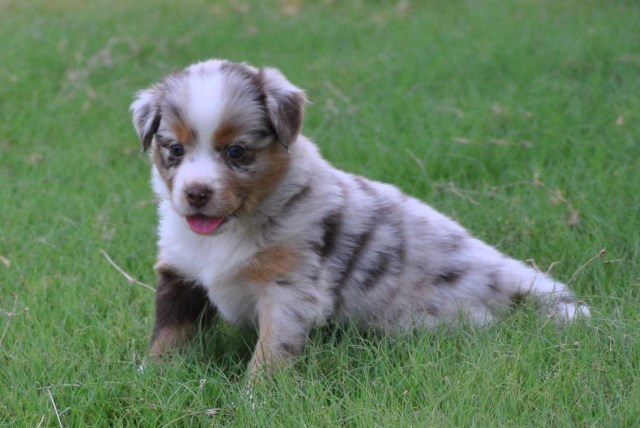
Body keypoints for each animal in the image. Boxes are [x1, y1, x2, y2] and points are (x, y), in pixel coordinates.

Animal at [130, 60, 592, 374]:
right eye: (174, 149)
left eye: (236, 152)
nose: (196, 194)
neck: (228, 232)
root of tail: (503, 274)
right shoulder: (181, 272)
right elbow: (168, 335)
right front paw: (154, 378)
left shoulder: (290, 289)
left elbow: (272, 351)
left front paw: (256, 399)